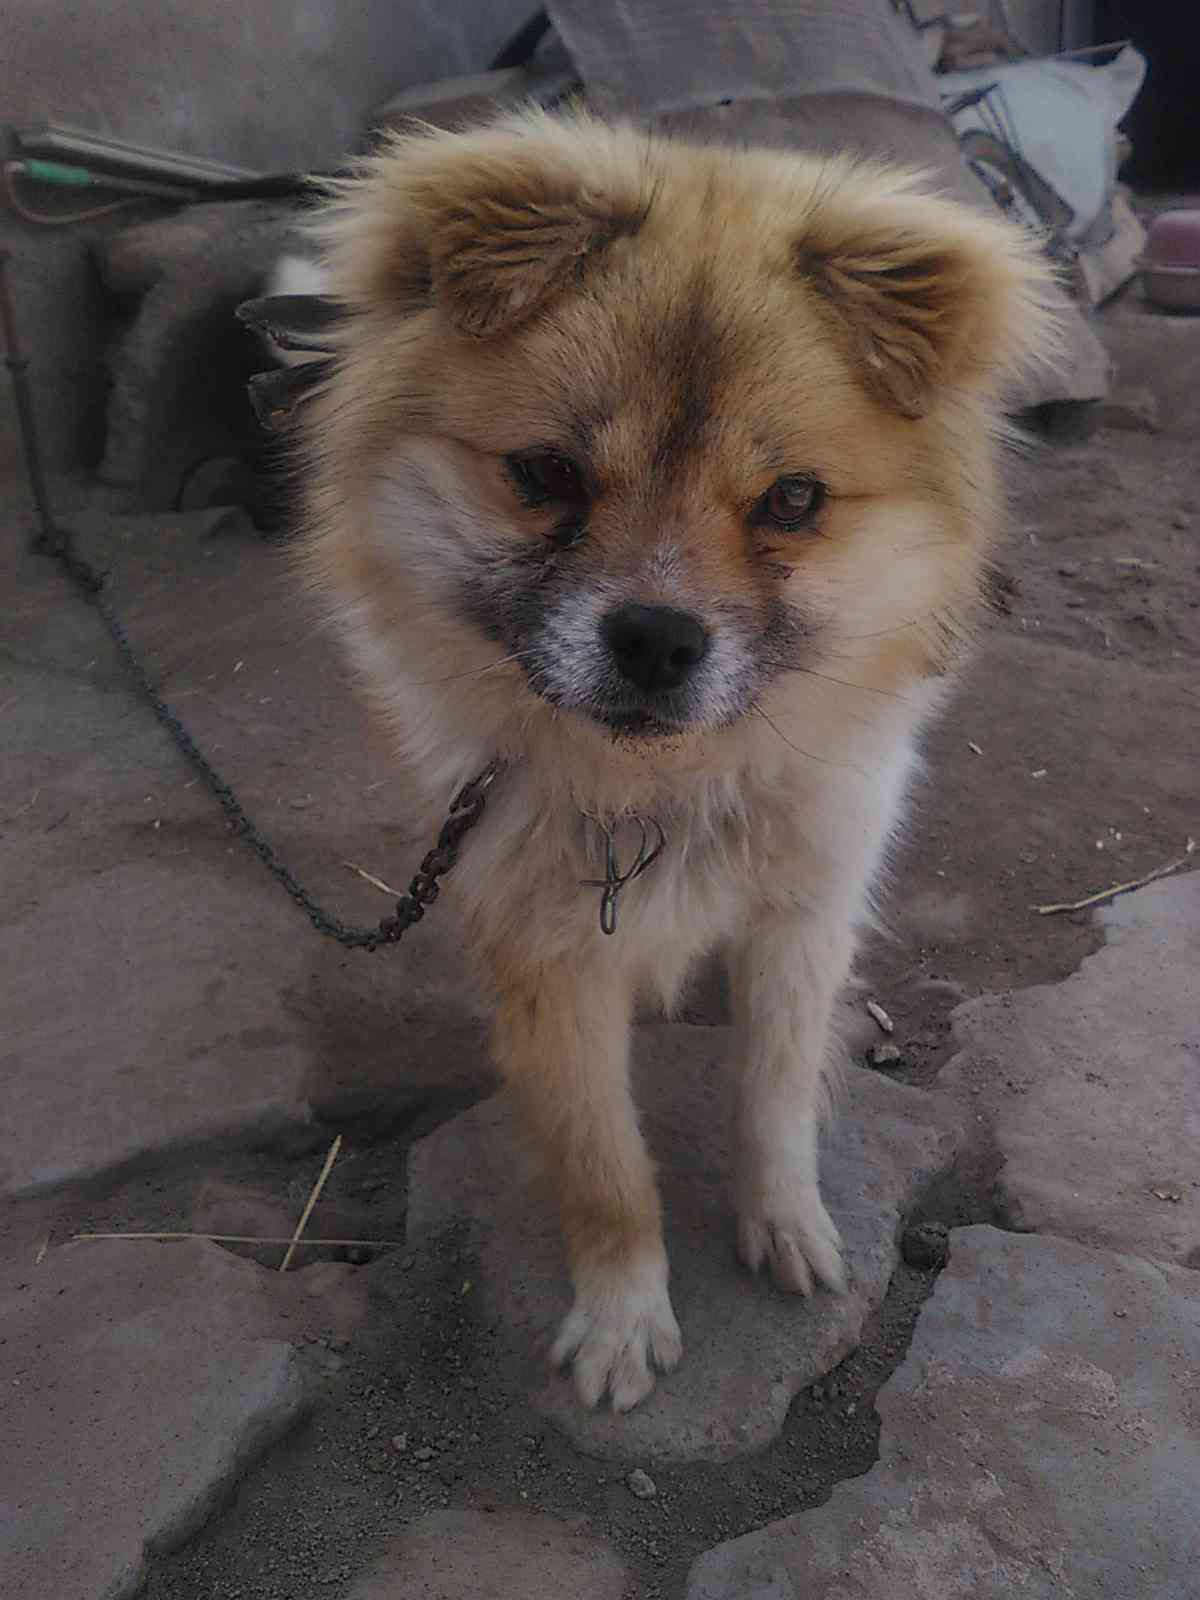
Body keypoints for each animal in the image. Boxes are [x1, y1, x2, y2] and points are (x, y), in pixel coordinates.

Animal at [291, 110, 1050, 1412]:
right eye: (545, 474)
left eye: (792, 499)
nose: (654, 638)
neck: (666, 793)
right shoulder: (547, 958)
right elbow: (604, 1165)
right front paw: (622, 1315)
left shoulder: (804, 918)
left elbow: (776, 1093)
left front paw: (785, 1224)